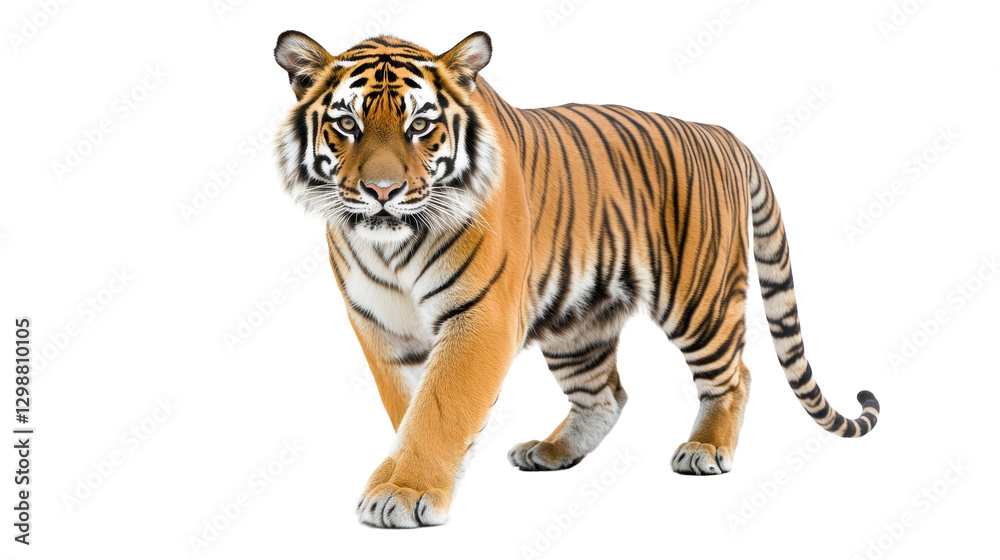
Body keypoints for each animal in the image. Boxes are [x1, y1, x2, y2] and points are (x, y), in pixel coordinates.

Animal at [272, 30, 880, 528]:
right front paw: (430, 473)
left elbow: (440, 406)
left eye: (420, 125)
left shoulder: (480, 316)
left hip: (698, 300)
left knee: (734, 376)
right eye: (346, 124)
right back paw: (550, 452)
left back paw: (705, 450)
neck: (389, 247)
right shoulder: (381, 327)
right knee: (606, 395)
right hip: (578, 322)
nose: (382, 191)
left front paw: (404, 492)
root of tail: (721, 133)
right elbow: (411, 407)